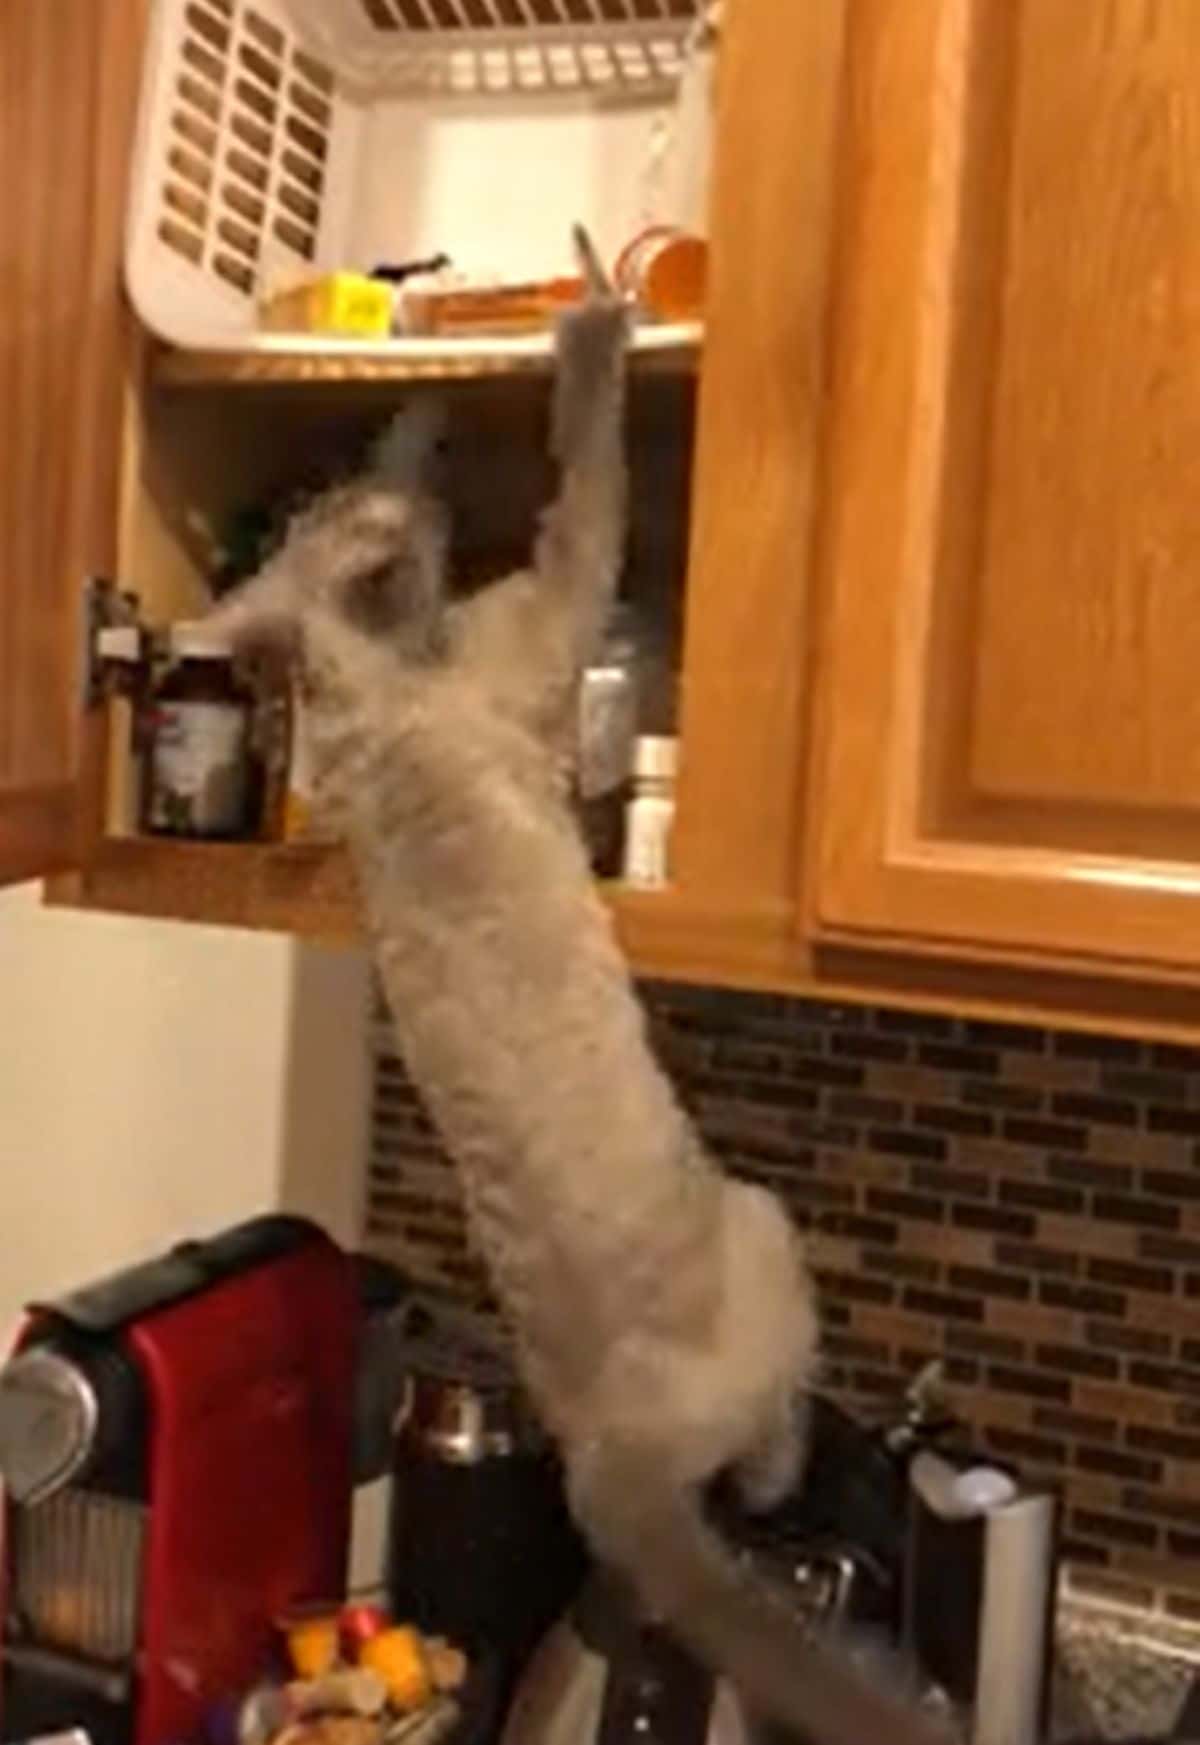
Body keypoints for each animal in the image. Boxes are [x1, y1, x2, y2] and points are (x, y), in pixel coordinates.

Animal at [215, 239, 934, 1745]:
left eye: (325, 500)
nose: (408, 482)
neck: (379, 686)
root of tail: (612, 1463)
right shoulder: (541, 621)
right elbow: (588, 489)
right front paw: (594, 322)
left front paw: (420, 396)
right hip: (764, 1225)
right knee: (775, 1434)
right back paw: (780, 1471)